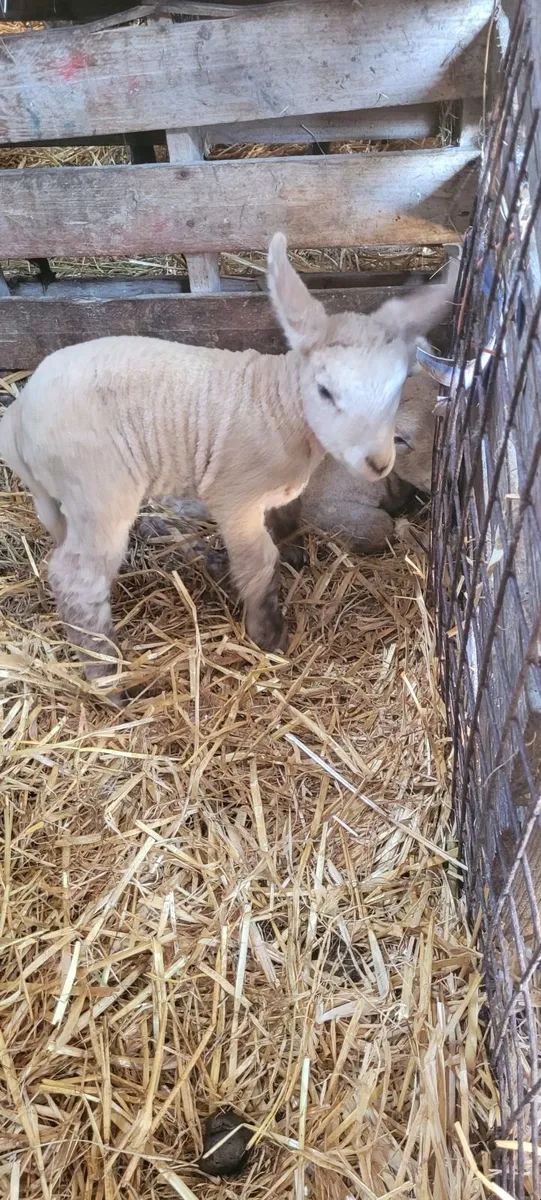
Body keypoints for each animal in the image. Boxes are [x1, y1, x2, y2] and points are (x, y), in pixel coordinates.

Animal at [0, 234, 452, 691]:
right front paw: (268, 634)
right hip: (102, 491)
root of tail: (19, 414)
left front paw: (291, 554)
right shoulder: (237, 498)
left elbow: (282, 528)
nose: (378, 462)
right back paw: (107, 675)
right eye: (325, 391)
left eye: (395, 390)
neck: (279, 405)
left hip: (67, 499)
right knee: (79, 578)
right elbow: (263, 561)